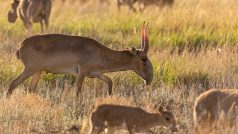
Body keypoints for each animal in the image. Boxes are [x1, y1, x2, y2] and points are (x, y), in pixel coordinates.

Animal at [7, 22, 153, 97]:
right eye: (144, 59)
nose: (149, 80)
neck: (100, 51)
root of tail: (22, 45)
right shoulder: (81, 72)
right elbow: (77, 91)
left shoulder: (97, 74)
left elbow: (110, 82)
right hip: (30, 69)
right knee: (13, 83)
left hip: (38, 71)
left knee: (31, 89)